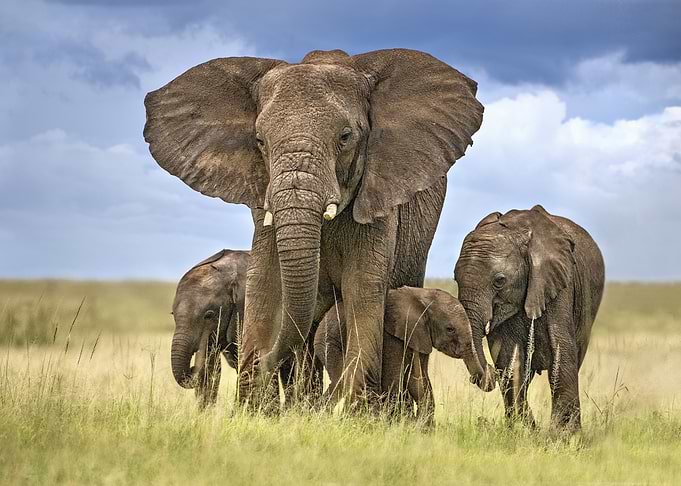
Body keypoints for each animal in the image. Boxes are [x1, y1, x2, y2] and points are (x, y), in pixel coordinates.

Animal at [314, 286, 490, 425]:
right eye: (450, 329)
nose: (474, 379)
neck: (422, 297)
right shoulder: (391, 335)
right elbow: (395, 377)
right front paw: (401, 422)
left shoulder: (421, 335)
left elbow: (419, 379)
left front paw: (422, 426)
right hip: (329, 341)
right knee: (341, 379)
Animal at [454, 205, 605, 430]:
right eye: (455, 279)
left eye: (499, 281)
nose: (489, 372)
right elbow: (509, 359)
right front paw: (524, 430)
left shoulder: (559, 282)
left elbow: (561, 351)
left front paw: (564, 434)